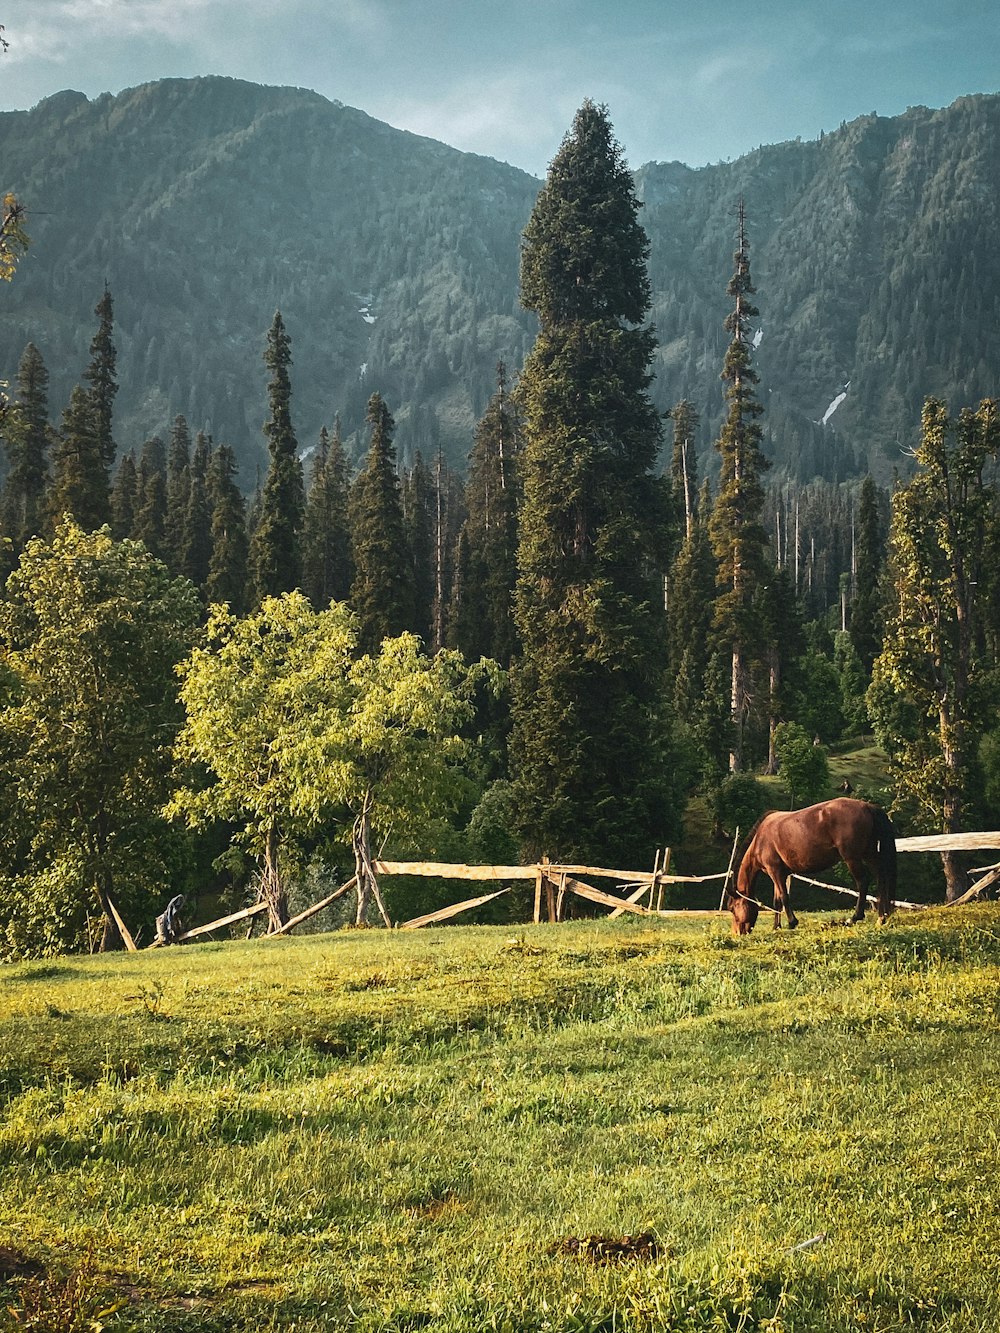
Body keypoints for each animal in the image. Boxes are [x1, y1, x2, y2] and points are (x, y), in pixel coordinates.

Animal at [730, 794, 901, 933]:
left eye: (732, 908)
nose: (737, 933)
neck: (761, 839)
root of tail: (867, 806)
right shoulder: (780, 874)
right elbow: (777, 901)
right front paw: (776, 926)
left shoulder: (775, 872)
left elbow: (784, 897)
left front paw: (792, 922)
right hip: (869, 854)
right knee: (881, 877)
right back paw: (882, 917)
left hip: (852, 858)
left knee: (863, 882)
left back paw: (854, 918)